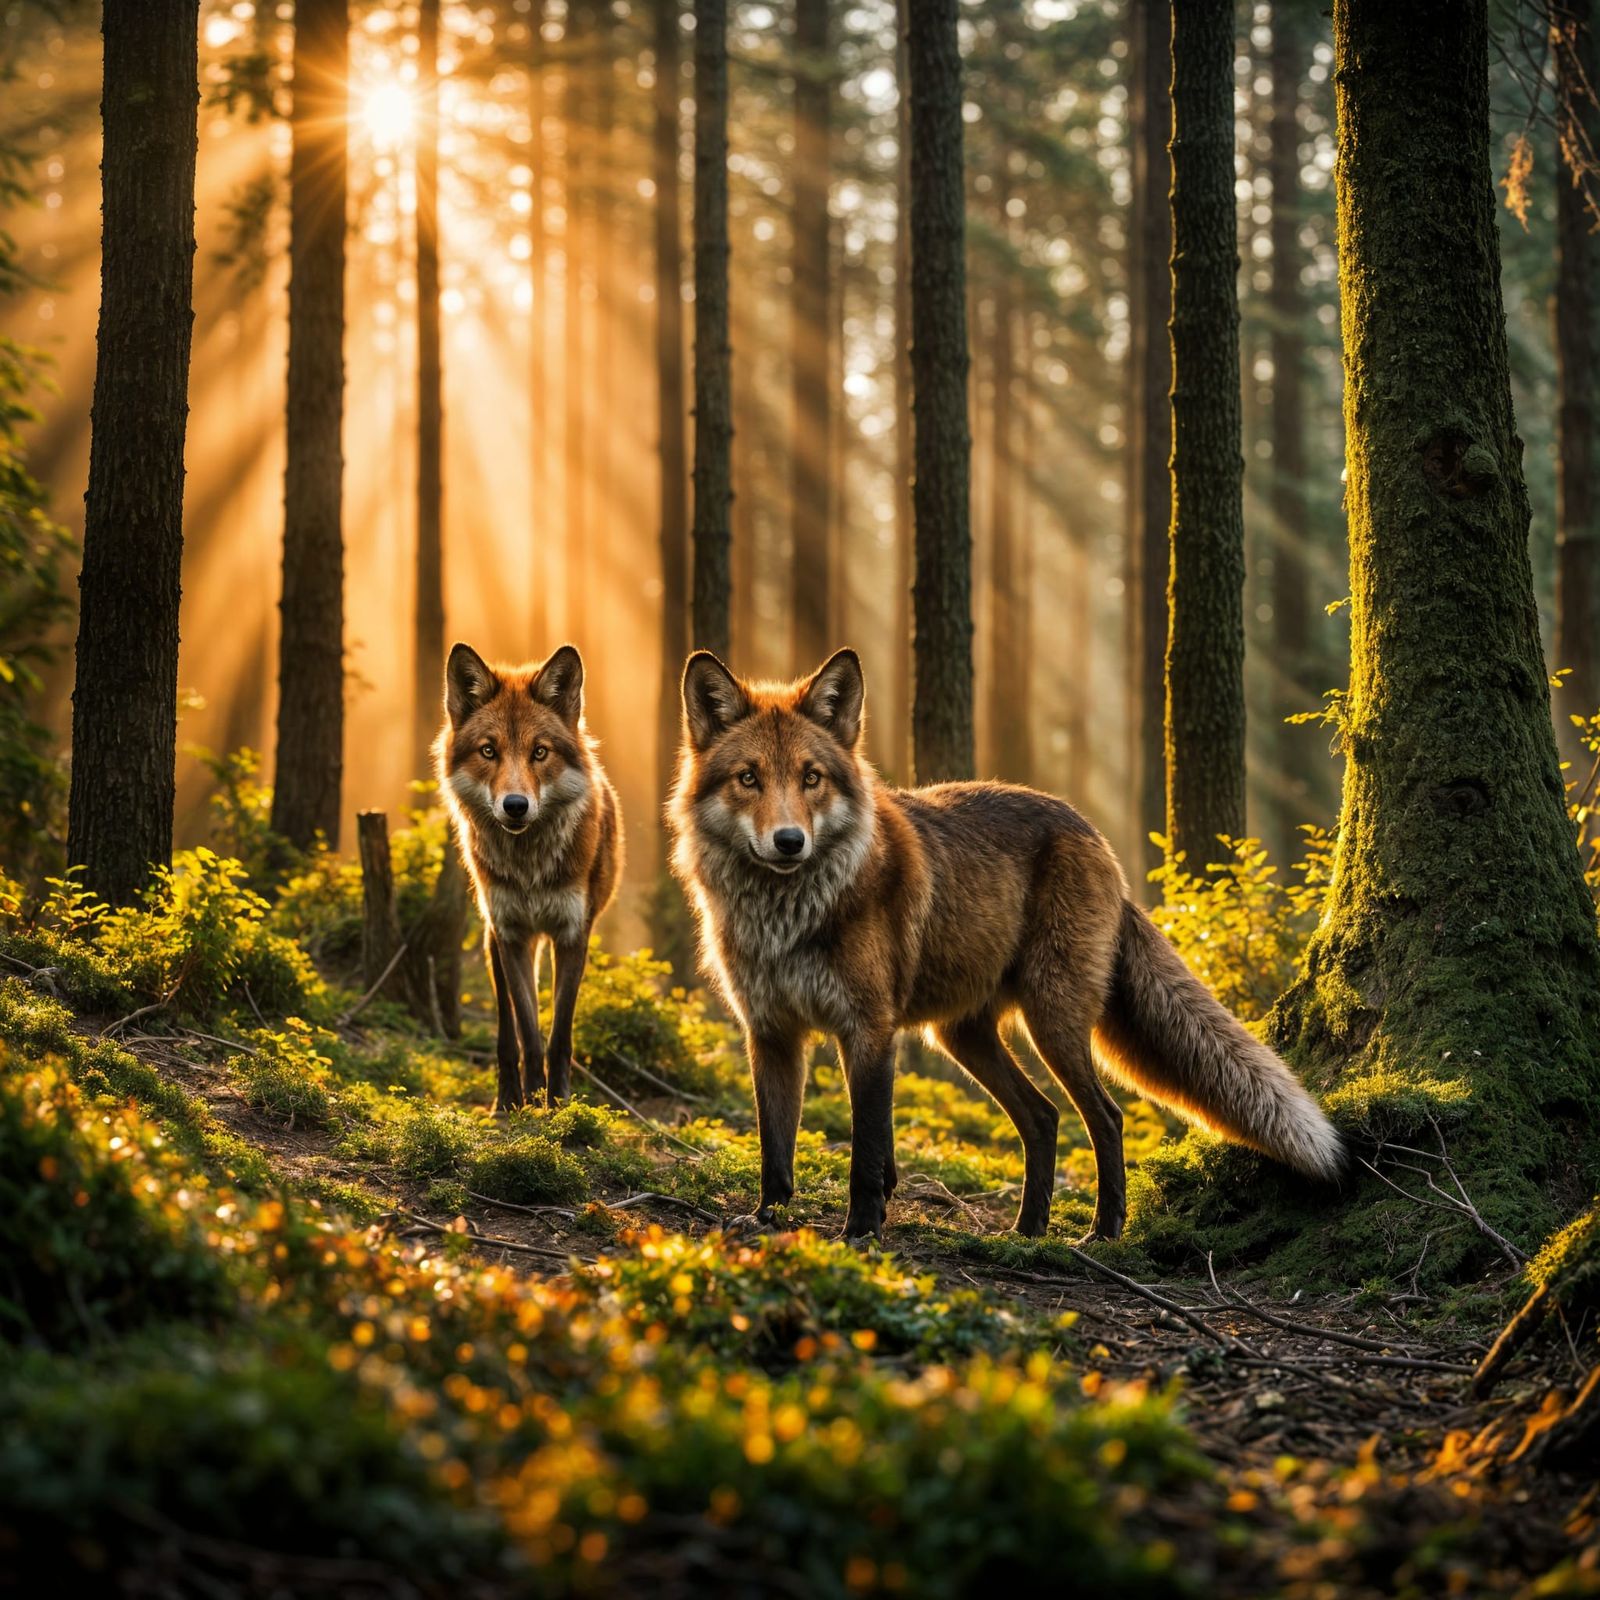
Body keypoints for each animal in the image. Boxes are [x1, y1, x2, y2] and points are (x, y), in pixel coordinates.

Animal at [438, 642, 622, 1114]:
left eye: (540, 752)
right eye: (489, 751)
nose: (516, 805)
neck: (530, 871)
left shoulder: (572, 934)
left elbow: (559, 1036)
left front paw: (558, 1104)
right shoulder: (513, 936)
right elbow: (529, 1031)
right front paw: (532, 1100)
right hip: (493, 941)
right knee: (507, 1032)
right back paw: (506, 1099)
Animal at [669, 647, 1344, 1243]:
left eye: (811, 778)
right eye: (749, 779)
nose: (789, 842)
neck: (787, 921)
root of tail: (1096, 839)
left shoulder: (869, 1029)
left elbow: (867, 1150)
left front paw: (861, 1230)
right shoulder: (771, 1032)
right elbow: (776, 1148)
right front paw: (768, 1218)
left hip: (1052, 1023)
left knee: (1105, 1117)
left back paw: (1102, 1231)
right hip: (963, 1036)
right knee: (1042, 1118)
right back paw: (1027, 1231)